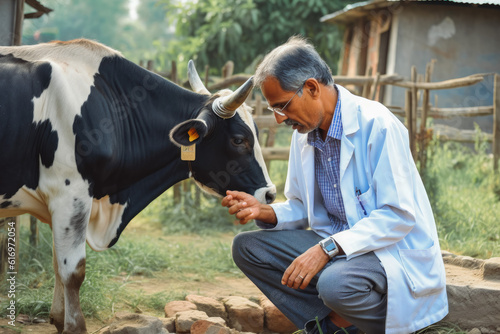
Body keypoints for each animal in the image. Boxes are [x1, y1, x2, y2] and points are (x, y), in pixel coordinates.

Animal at [0, 39, 276, 334]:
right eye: (239, 140)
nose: (270, 193)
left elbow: (57, 264)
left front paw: (59, 318)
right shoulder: (69, 194)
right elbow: (72, 271)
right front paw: (75, 325)